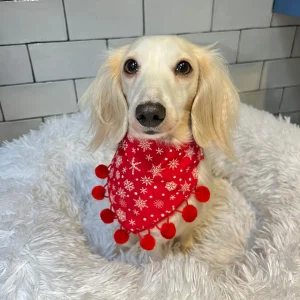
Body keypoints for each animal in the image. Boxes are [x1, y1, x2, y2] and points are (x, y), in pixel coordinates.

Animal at [83, 35, 240, 258]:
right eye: (130, 65)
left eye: (184, 67)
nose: (149, 113)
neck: (156, 162)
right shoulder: (152, 243)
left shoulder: (193, 218)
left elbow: (187, 236)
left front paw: (186, 253)